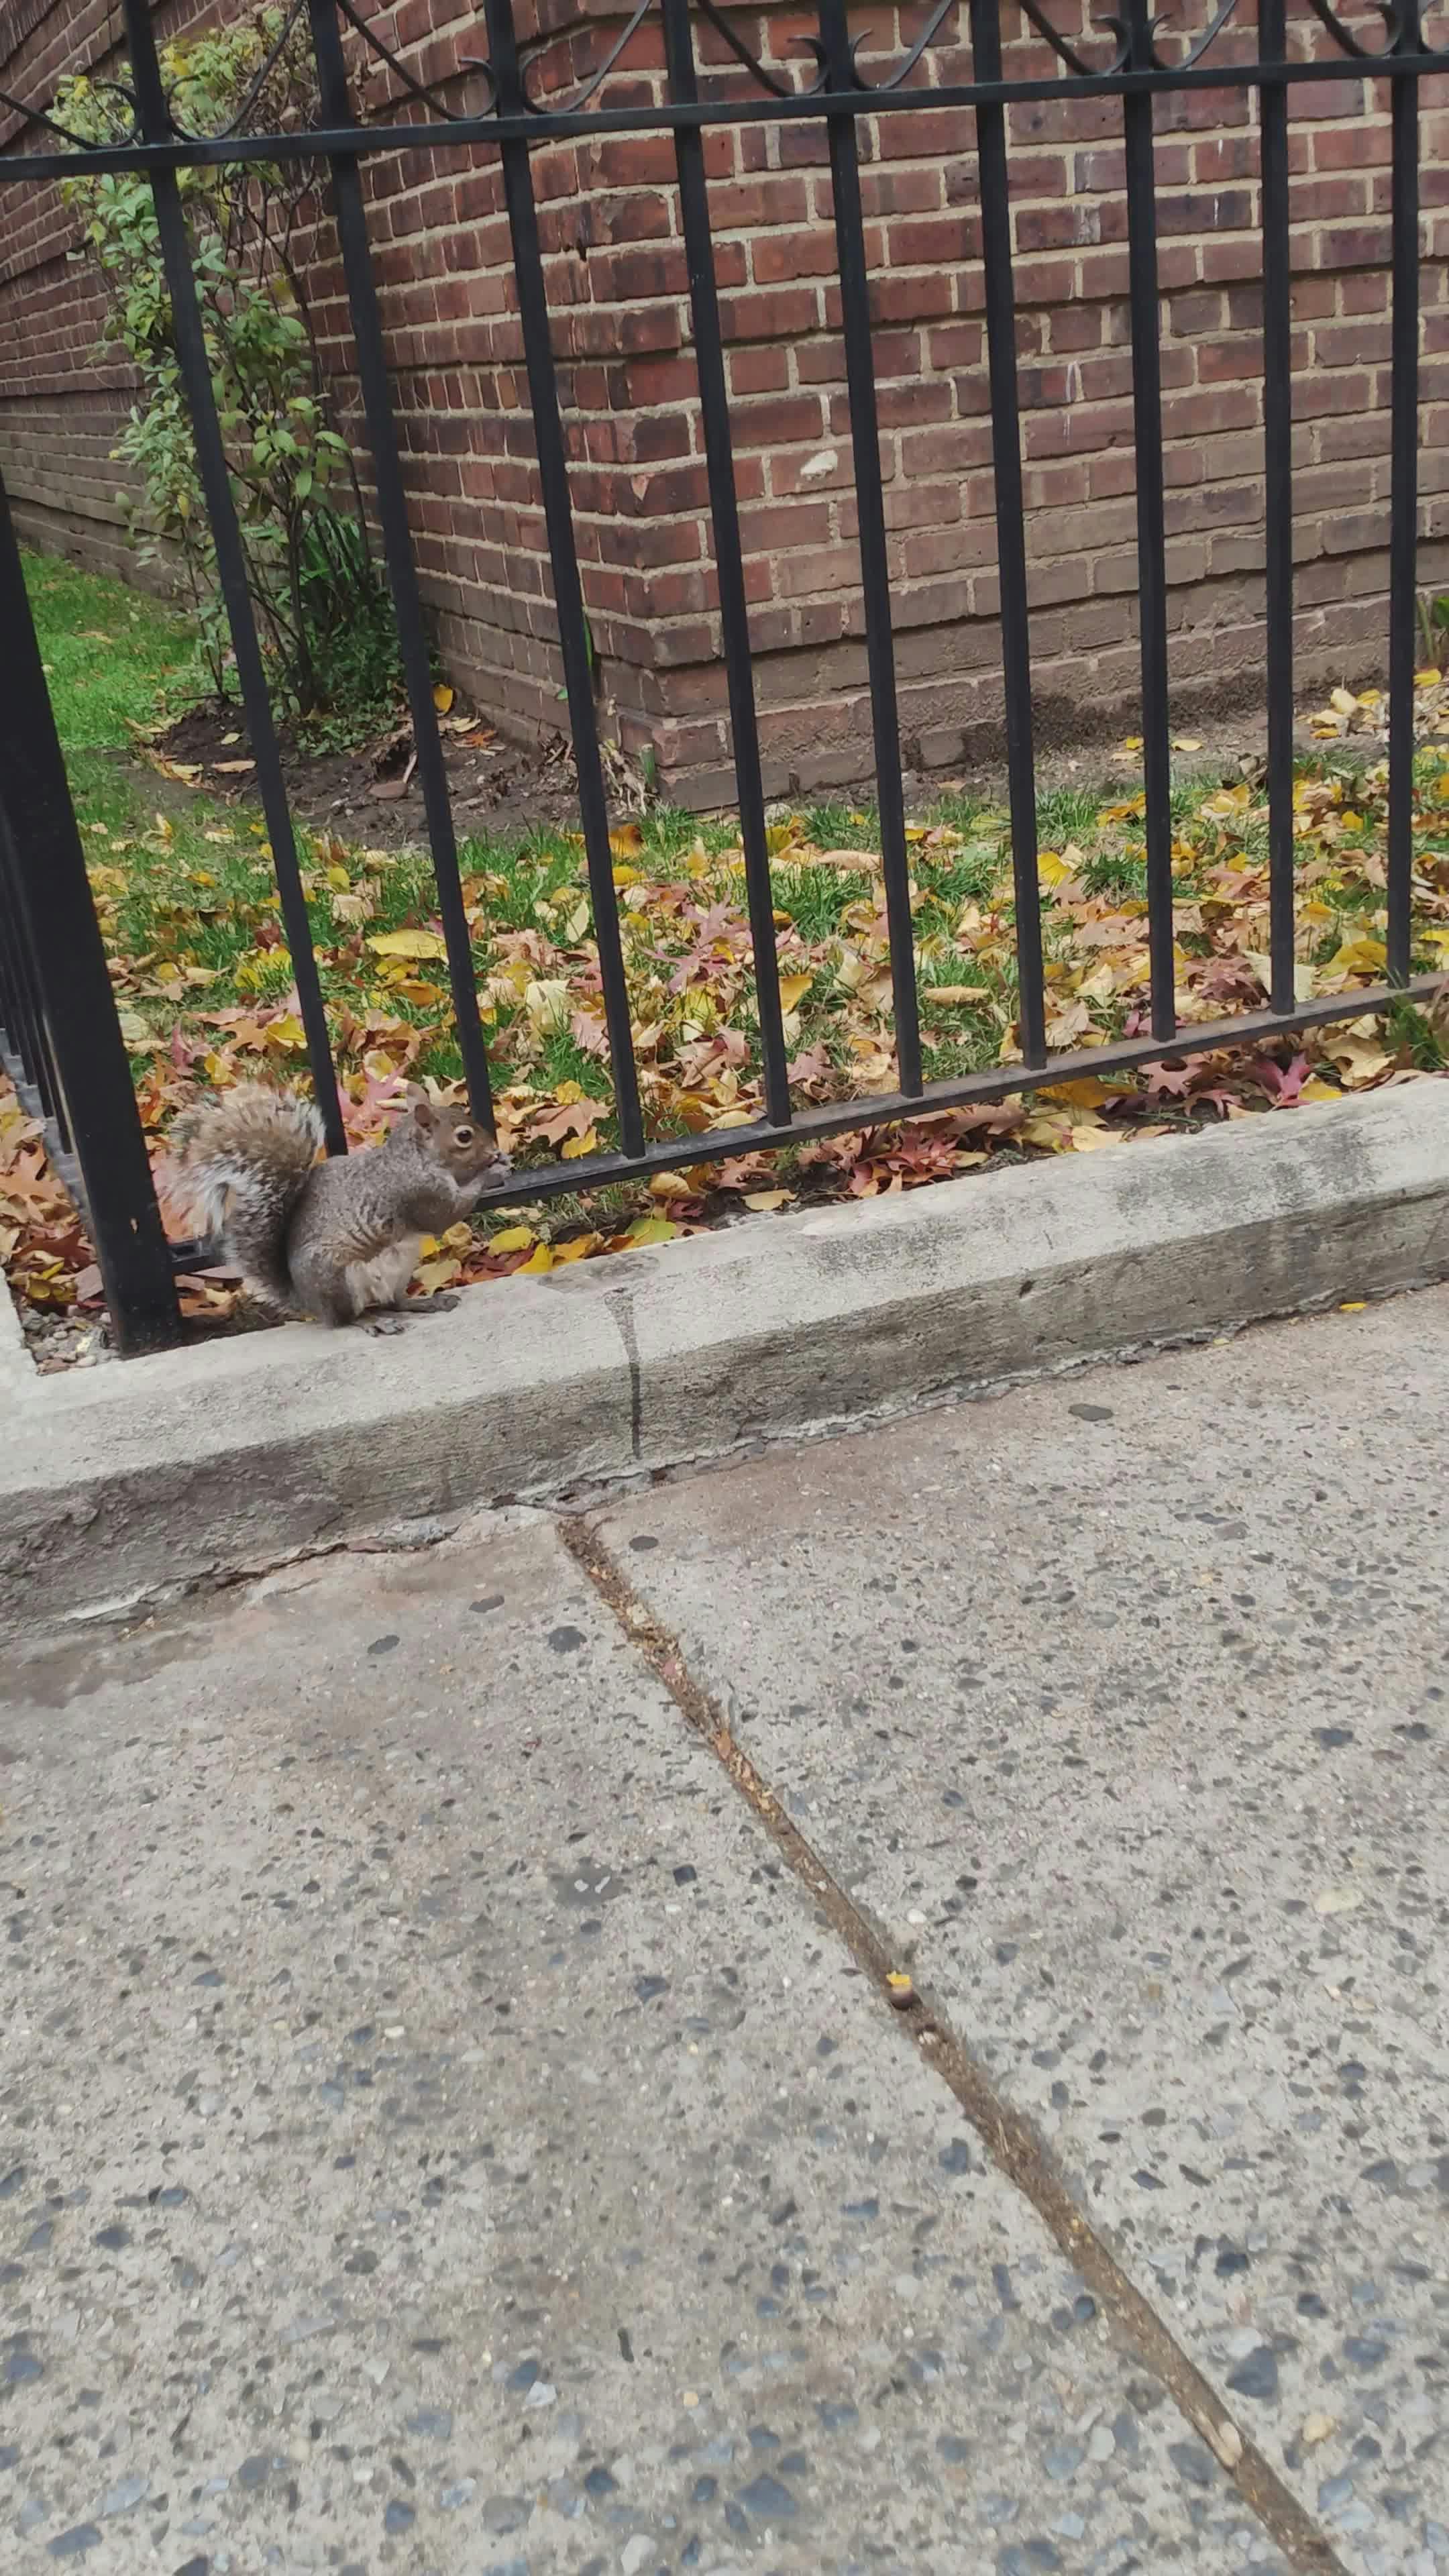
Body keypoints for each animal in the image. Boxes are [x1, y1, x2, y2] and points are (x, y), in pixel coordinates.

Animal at [171, 1083, 511, 1328]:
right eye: (464, 1137)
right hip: (336, 1279)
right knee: (347, 1319)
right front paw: (492, 1172)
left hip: (401, 1267)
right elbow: (445, 1215)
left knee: (395, 1302)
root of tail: (308, 1302)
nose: (494, 1150)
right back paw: (373, 1323)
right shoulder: (417, 1193)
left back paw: (424, 1303)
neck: (414, 1158)